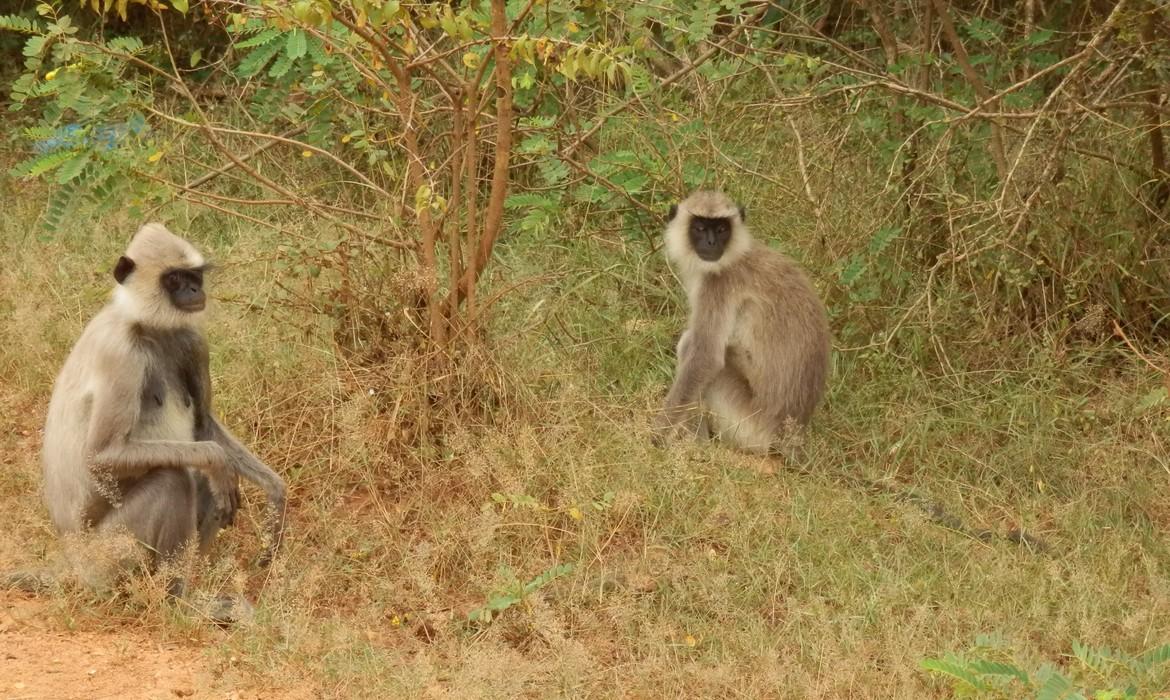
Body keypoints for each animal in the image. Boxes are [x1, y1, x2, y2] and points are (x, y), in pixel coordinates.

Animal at [31, 223, 286, 597]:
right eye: (174, 278)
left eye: (194, 275)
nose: (194, 289)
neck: (148, 325)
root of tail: (73, 562)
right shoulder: (121, 354)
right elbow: (103, 456)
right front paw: (217, 461)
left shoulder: (193, 340)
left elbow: (204, 426)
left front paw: (275, 493)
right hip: (106, 554)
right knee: (174, 478)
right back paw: (177, 598)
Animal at [652, 190, 831, 454]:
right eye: (700, 227)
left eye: (721, 229)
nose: (711, 243)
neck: (734, 256)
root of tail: (790, 435)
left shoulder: (719, 285)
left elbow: (705, 357)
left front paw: (655, 437)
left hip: (748, 424)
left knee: (691, 347)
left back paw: (700, 446)